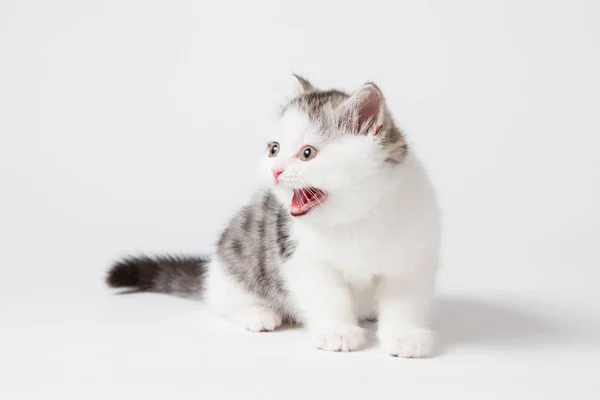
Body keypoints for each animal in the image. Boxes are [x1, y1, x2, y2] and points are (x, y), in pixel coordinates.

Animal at [106, 76, 440, 358]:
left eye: (307, 153)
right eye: (274, 149)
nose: (275, 170)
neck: (356, 217)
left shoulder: (412, 258)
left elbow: (404, 302)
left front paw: (406, 337)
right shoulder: (302, 256)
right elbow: (328, 296)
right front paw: (338, 332)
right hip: (234, 256)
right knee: (221, 298)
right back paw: (257, 312)